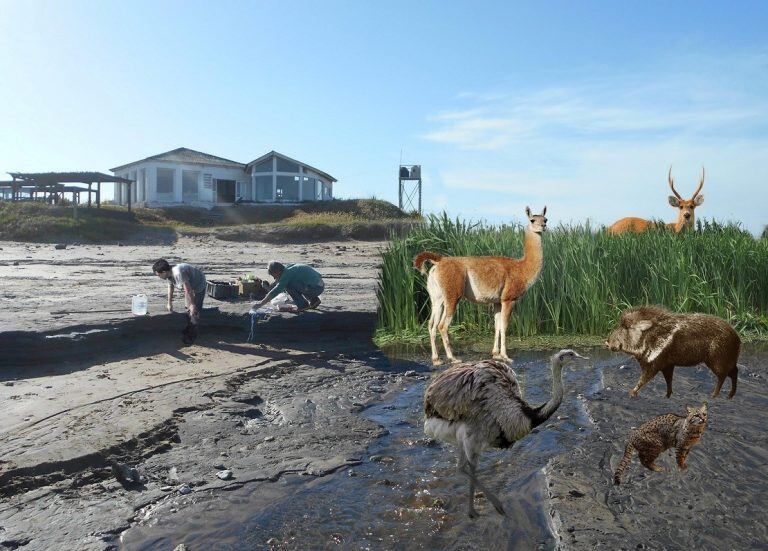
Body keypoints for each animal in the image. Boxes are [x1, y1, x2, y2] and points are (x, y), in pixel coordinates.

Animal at [414, 207, 544, 366]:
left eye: (545, 219)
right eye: (532, 220)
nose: (543, 226)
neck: (522, 269)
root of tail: (440, 260)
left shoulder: (497, 301)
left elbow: (497, 326)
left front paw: (496, 354)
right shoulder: (509, 299)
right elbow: (504, 326)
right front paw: (506, 356)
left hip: (437, 297)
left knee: (432, 324)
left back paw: (436, 359)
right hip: (452, 295)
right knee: (442, 326)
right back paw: (453, 358)